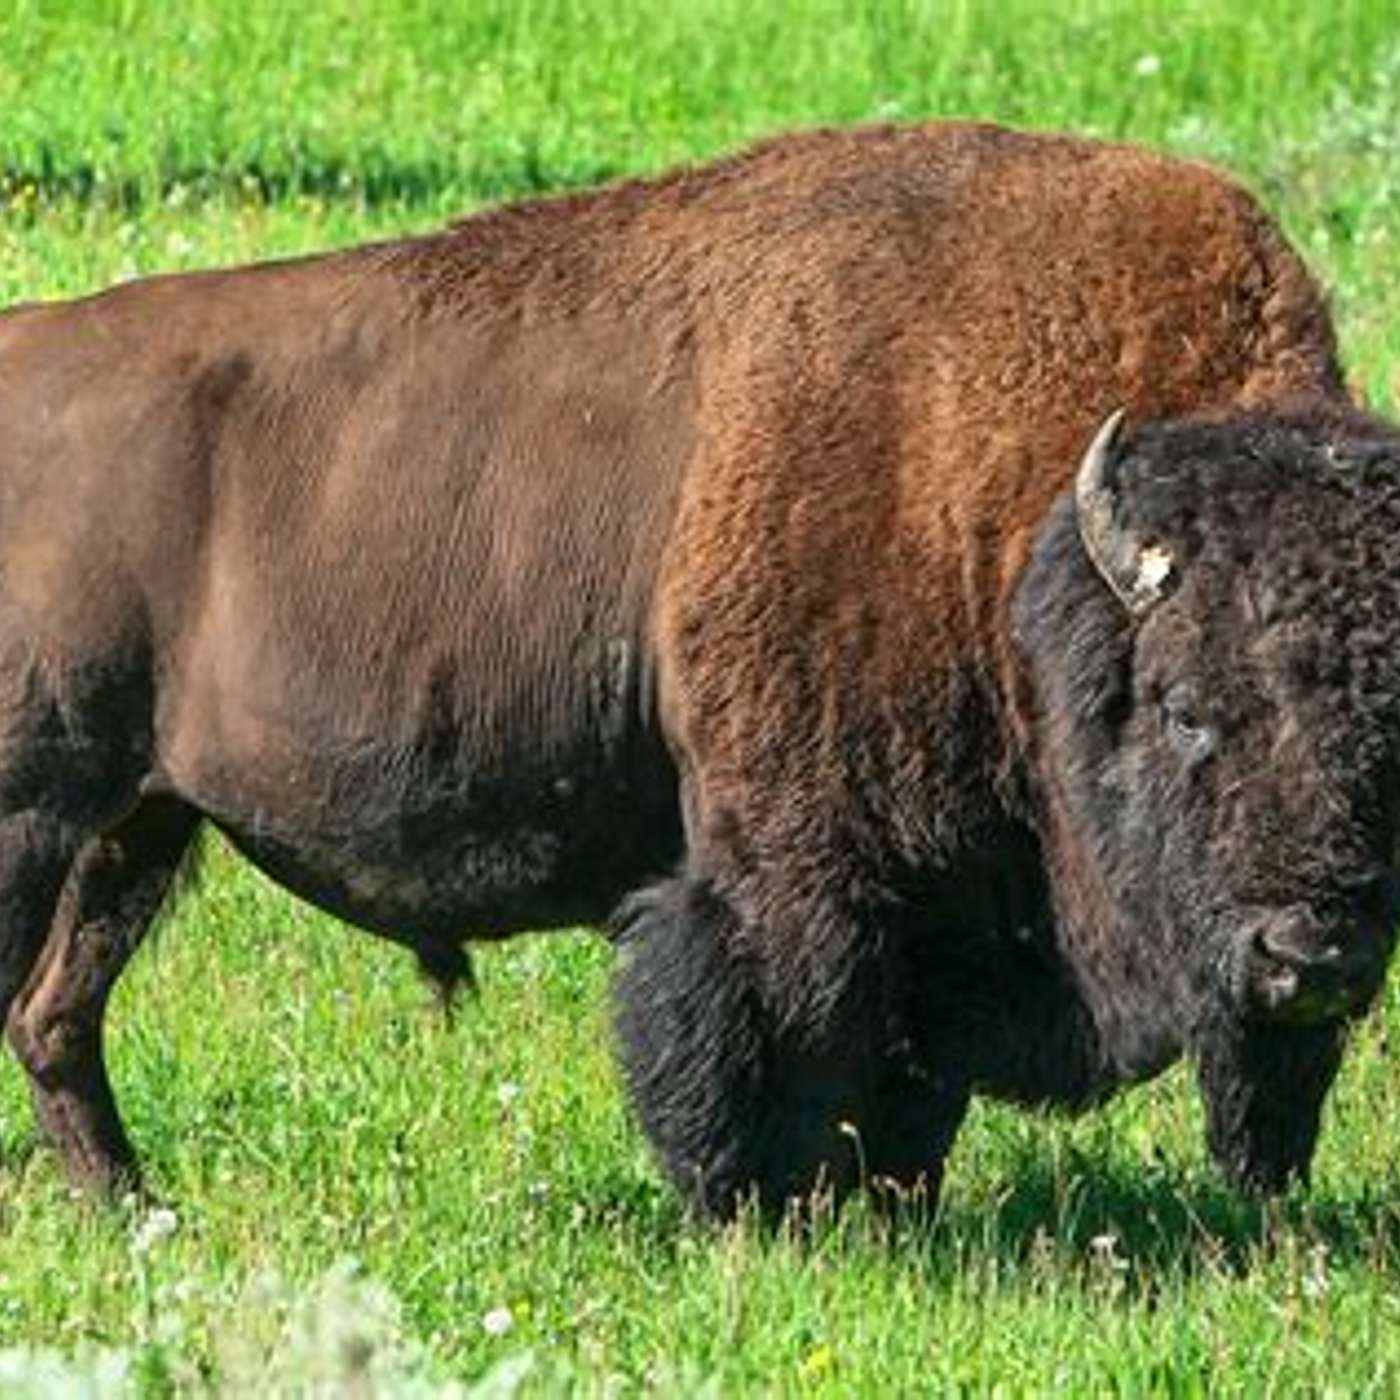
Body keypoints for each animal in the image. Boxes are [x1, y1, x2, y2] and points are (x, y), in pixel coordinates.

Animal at [2, 121, 1400, 1220]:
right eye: (1184, 712)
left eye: (1384, 732)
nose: (1313, 953)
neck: (998, 514)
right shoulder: (789, 866)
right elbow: (771, 1038)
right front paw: (760, 1220)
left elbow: (911, 1094)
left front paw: (888, 1210)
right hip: (40, 813)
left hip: (134, 823)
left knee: (56, 1012)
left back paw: (133, 1206)